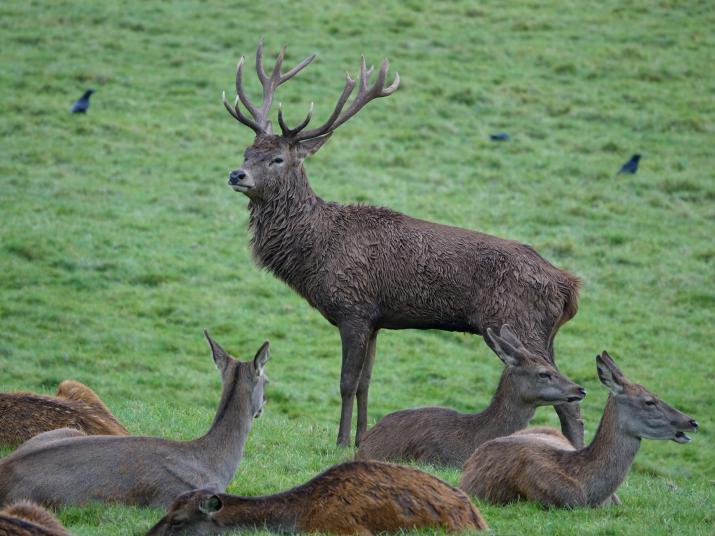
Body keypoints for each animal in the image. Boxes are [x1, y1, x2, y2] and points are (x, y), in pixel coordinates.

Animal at [221, 39, 584, 448]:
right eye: (247, 152)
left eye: (278, 158)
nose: (237, 174)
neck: (317, 252)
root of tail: (568, 285)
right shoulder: (377, 319)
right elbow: (366, 383)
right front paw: (362, 438)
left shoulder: (354, 308)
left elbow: (347, 383)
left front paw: (341, 441)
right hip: (541, 333)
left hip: (518, 322)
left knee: (571, 406)